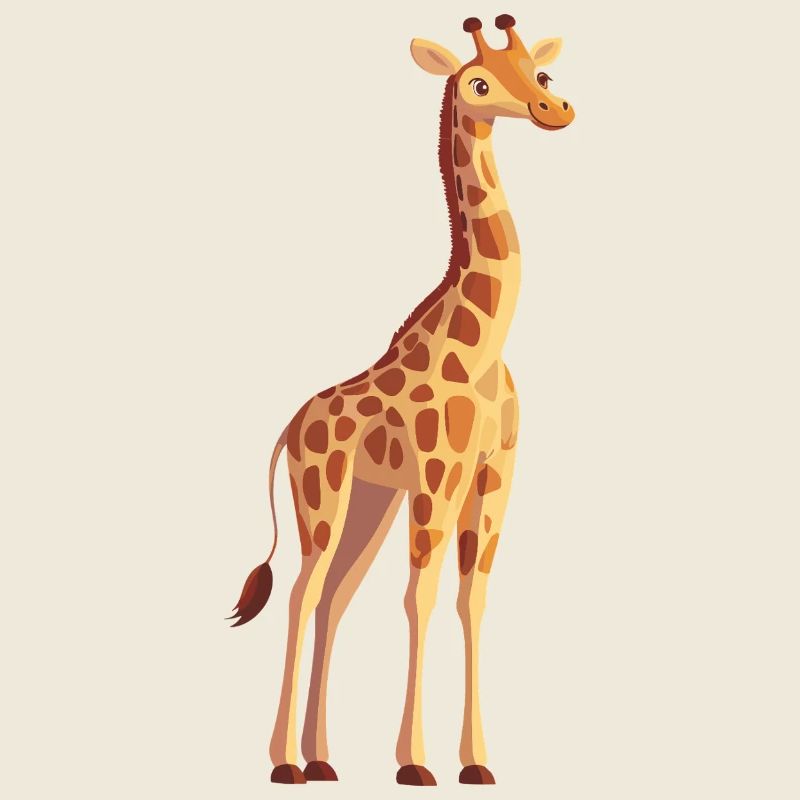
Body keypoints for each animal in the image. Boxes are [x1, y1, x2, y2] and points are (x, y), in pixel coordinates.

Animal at [230, 14, 575, 786]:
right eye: (477, 83)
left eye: (538, 74)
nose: (555, 110)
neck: (483, 348)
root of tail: (289, 429)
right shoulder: (438, 473)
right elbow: (420, 595)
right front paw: (415, 764)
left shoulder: (494, 475)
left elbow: (471, 599)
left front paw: (477, 763)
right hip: (322, 497)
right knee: (302, 594)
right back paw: (285, 763)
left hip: (369, 501)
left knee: (333, 599)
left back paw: (323, 760)